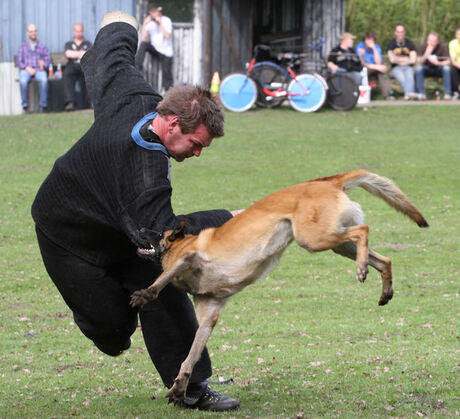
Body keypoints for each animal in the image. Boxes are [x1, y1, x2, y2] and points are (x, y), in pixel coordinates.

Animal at [129, 170, 428, 404]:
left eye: (158, 233)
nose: (140, 228)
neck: (183, 242)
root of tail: (328, 182)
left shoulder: (188, 257)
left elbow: (160, 280)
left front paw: (144, 295)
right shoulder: (209, 317)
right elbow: (190, 356)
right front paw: (180, 385)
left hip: (314, 237)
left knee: (364, 230)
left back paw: (362, 268)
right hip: (336, 243)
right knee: (385, 259)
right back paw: (383, 287)